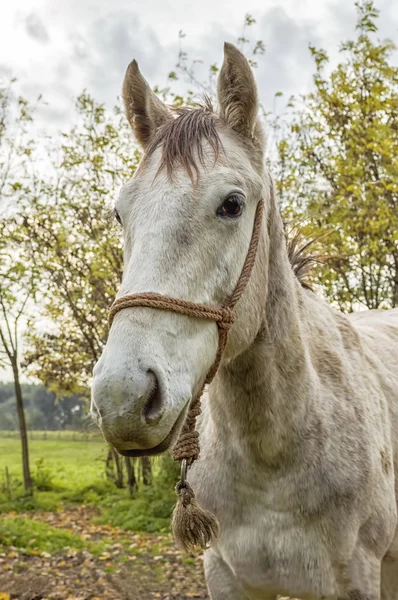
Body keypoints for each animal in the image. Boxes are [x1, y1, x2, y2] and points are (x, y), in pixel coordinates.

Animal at [91, 43, 398, 600]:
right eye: (120, 214)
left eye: (232, 204)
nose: (122, 400)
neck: (273, 454)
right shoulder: (228, 574)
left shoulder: (360, 579)